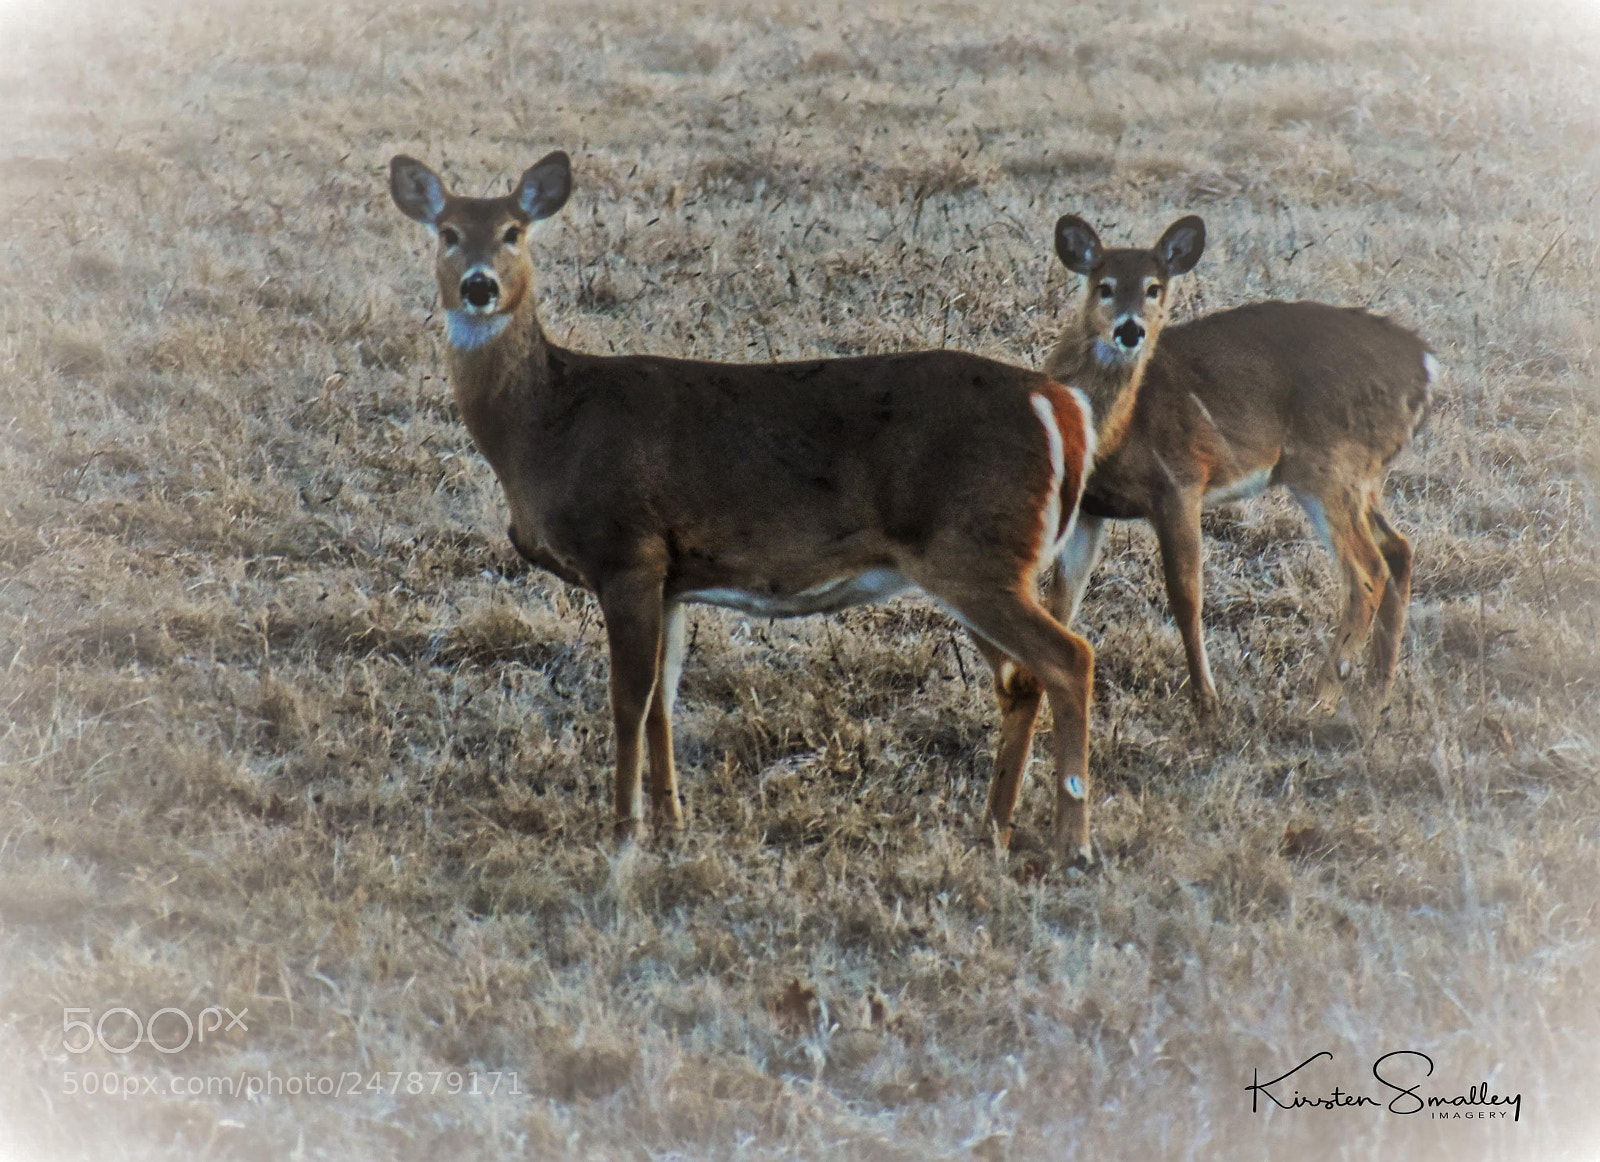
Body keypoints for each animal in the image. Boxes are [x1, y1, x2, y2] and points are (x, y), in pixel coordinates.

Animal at [389, 151, 1103, 864]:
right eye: (448, 232)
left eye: (514, 231)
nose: (479, 286)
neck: (546, 426)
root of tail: (1059, 403)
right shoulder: (670, 577)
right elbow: (663, 699)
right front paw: (671, 822)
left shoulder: (627, 550)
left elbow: (627, 701)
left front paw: (624, 830)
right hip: (975, 561)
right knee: (1023, 680)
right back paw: (995, 827)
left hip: (976, 552)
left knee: (1069, 659)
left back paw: (1072, 841)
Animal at [1001, 212, 1433, 740]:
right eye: (1104, 287)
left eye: (1154, 288)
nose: (1130, 330)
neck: (1115, 434)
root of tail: (1425, 367)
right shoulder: (1088, 509)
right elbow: (1061, 604)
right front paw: (1038, 707)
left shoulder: (1180, 483)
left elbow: (1186, 597)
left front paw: (1206, 703)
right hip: (1358, 474)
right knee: (1398, 549)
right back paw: (1374, 696)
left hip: (1330, 464)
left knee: (1367, 569)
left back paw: (1322, 695)